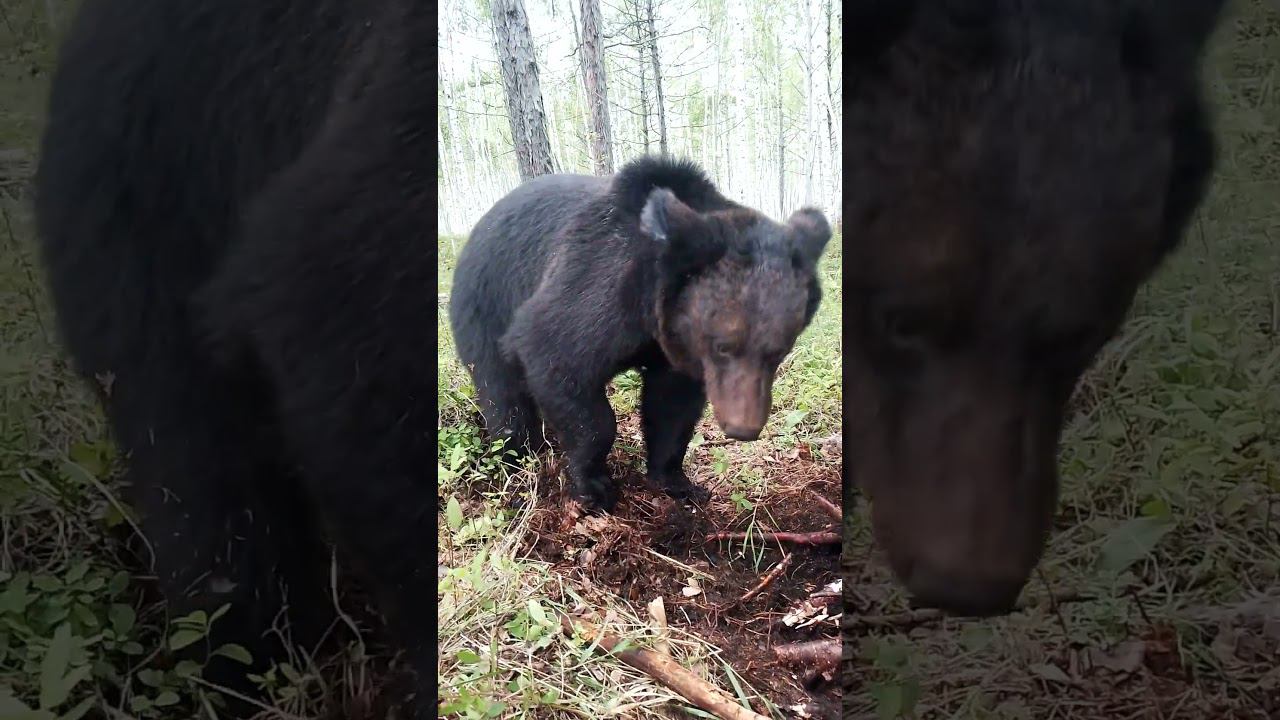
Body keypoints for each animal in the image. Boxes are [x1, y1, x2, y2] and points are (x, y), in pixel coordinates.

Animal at [448, 157, 832, 511]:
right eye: (723, 346)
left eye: (779, 351)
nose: (743, 427)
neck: (651, 312)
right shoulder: (597, 288)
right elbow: (558, 359)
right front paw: (596, 487)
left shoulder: (674, 348)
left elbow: (672, 407)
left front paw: (677, 482)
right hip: (484, 305)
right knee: (502, 394)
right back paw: (515, 457)